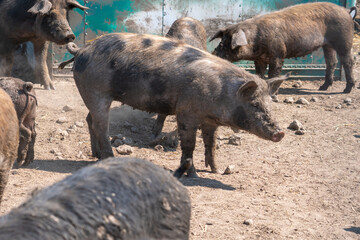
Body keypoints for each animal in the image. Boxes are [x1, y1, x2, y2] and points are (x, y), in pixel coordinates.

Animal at [64, 32, 286, 177]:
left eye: (270, 103)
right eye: (254, 104)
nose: (281, 132)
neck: (221, 93)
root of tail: (82, 50)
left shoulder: (211, 120)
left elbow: (211, 143)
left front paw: (215, 171)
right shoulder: (186, 113)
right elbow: (189, 146)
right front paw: (191, 175)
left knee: (90, 119)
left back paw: (96, 155)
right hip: (96, 92)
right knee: (101, 126)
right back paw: (107, 158)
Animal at [211, 2, 358, 94]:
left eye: (224, 44)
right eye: (221, 42)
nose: (213, 53)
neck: (256, 40)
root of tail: (346, 11)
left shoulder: (278, 55)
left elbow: (273, 74)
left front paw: (273, 94)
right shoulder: (259, 60)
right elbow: (259, 74)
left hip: (344, 39)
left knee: (348, 61)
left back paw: (347, 90)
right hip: (327, 45)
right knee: (331, 62)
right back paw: (322, 88)